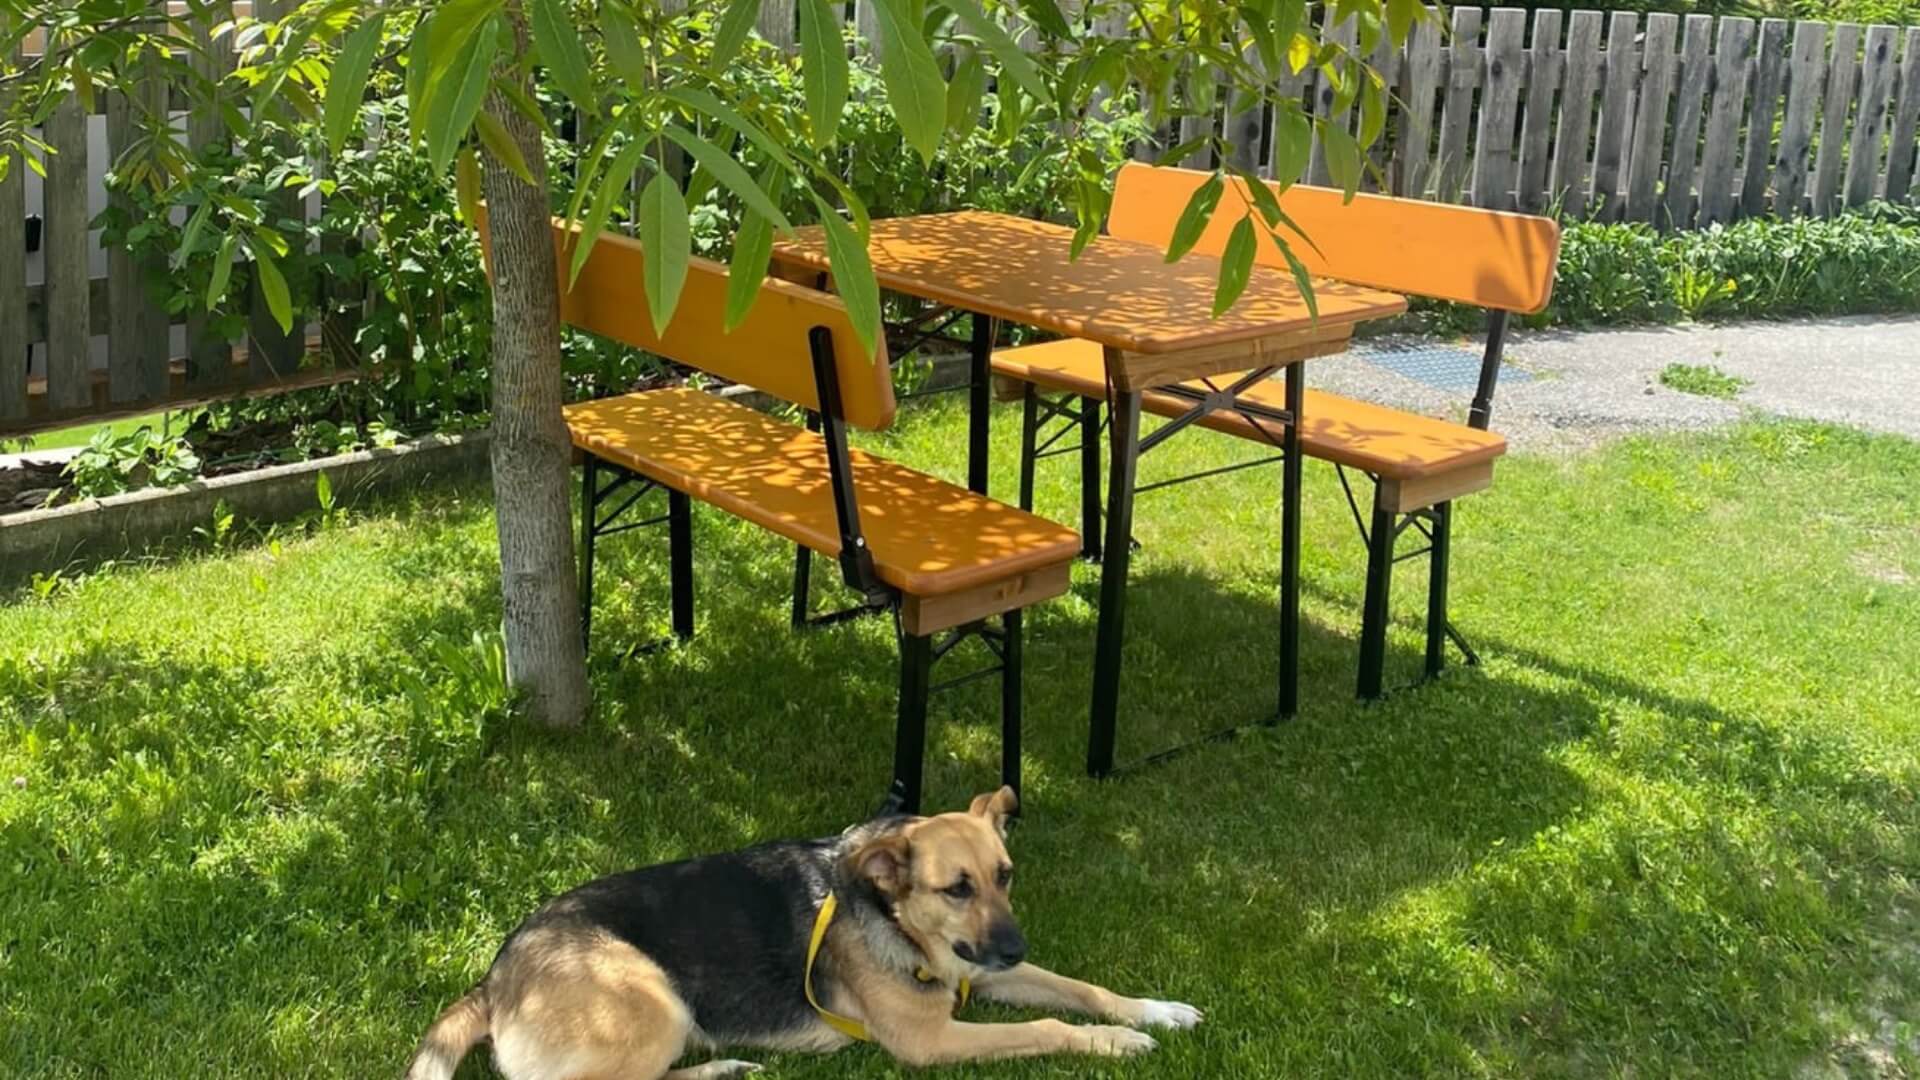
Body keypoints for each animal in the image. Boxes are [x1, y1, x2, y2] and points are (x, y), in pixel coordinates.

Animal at [405, 780, 1198, 1076]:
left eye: (1004, 875)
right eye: (956, 887)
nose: (1015, 947)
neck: (896, 917)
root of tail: (495, 977)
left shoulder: (978, 970)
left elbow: (1084, 989)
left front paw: (1153, 1010)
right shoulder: (932, 1040)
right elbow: (1050, 1025)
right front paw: (1116, 1044)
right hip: (654, 1002)